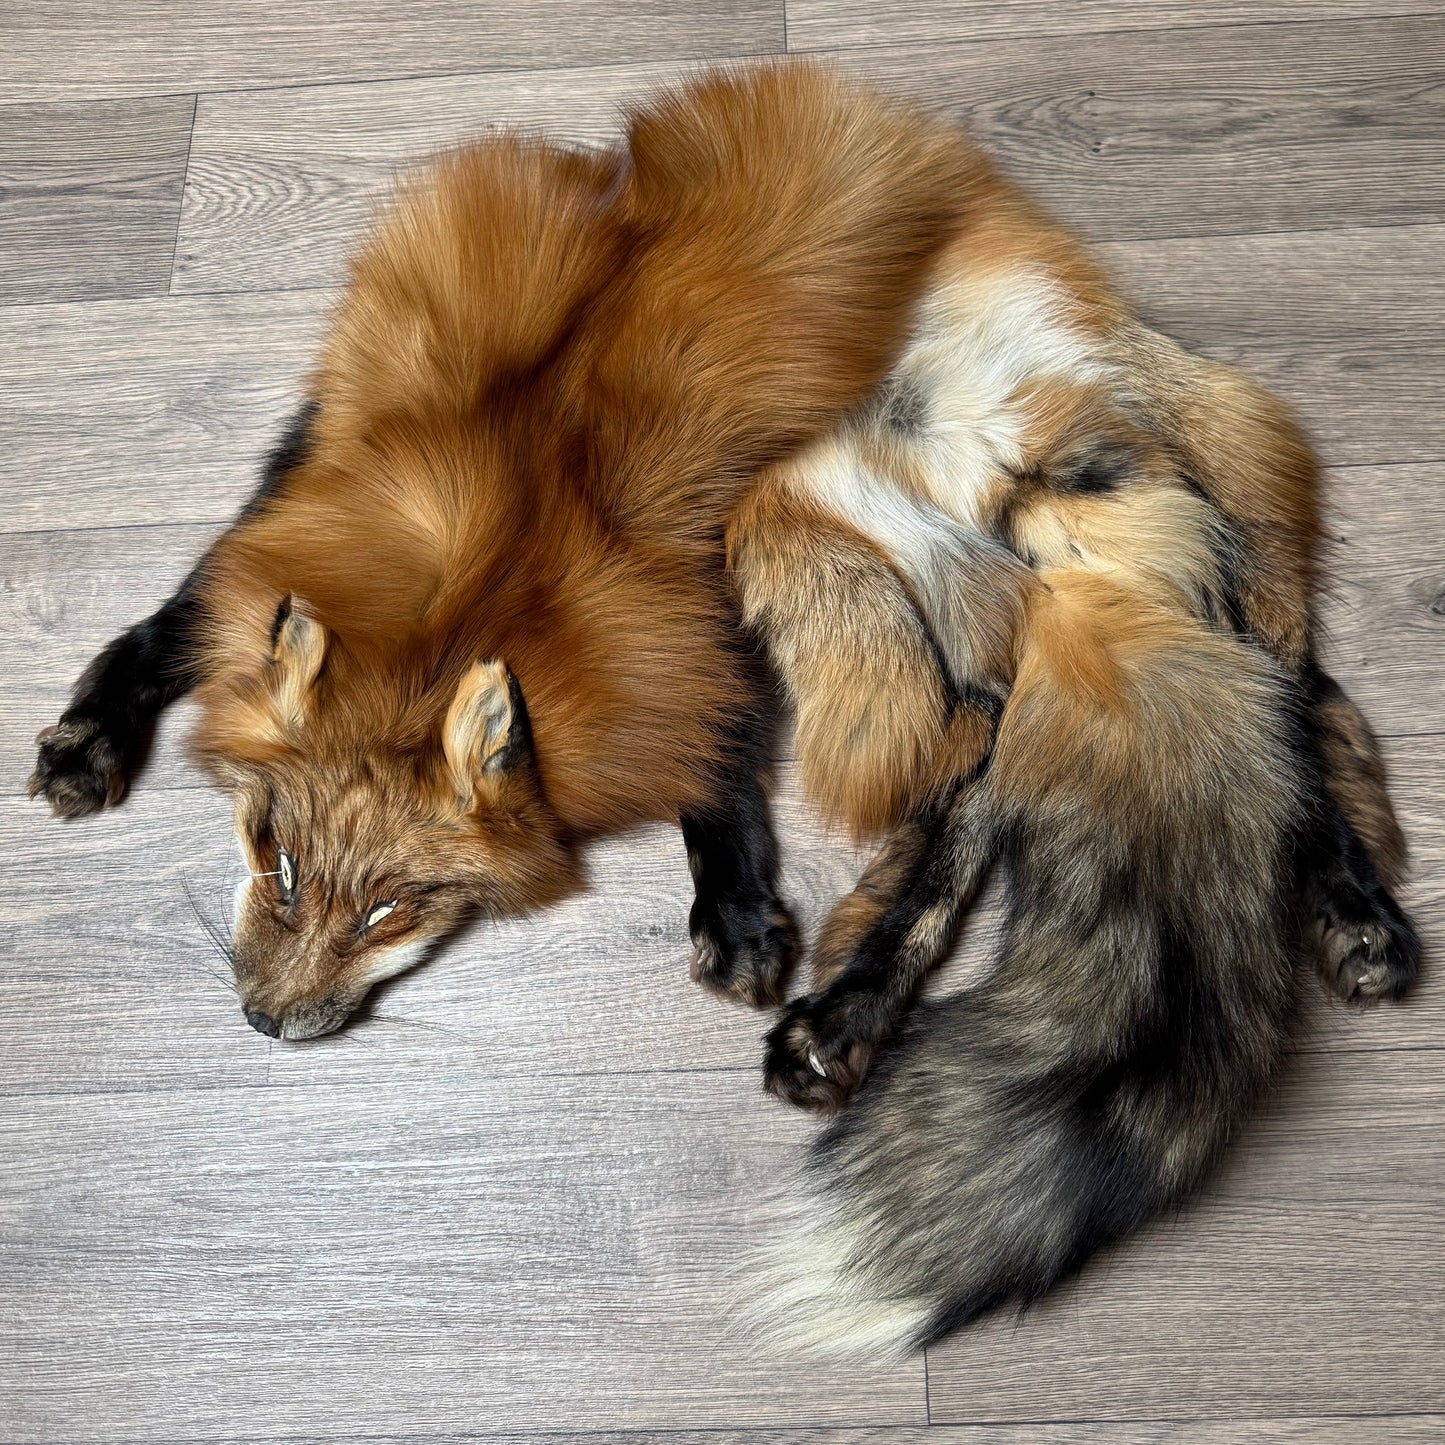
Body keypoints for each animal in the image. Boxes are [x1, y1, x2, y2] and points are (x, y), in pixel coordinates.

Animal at [27, 65, 989, 1038]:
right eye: (283, 864)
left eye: (389, 909)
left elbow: (715, 755)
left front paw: (735, 909)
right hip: (328, 439)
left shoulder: (695, 619)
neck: (449, 637)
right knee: (194, 595)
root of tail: (631, 168)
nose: (264, 1019)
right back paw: (91, 732)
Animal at [726, 157, 1422, 1353]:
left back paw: (1354, 903)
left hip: (1140, 527)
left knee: (1295, 696)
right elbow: (931, 865)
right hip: (977, 605)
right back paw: (849, 1012)